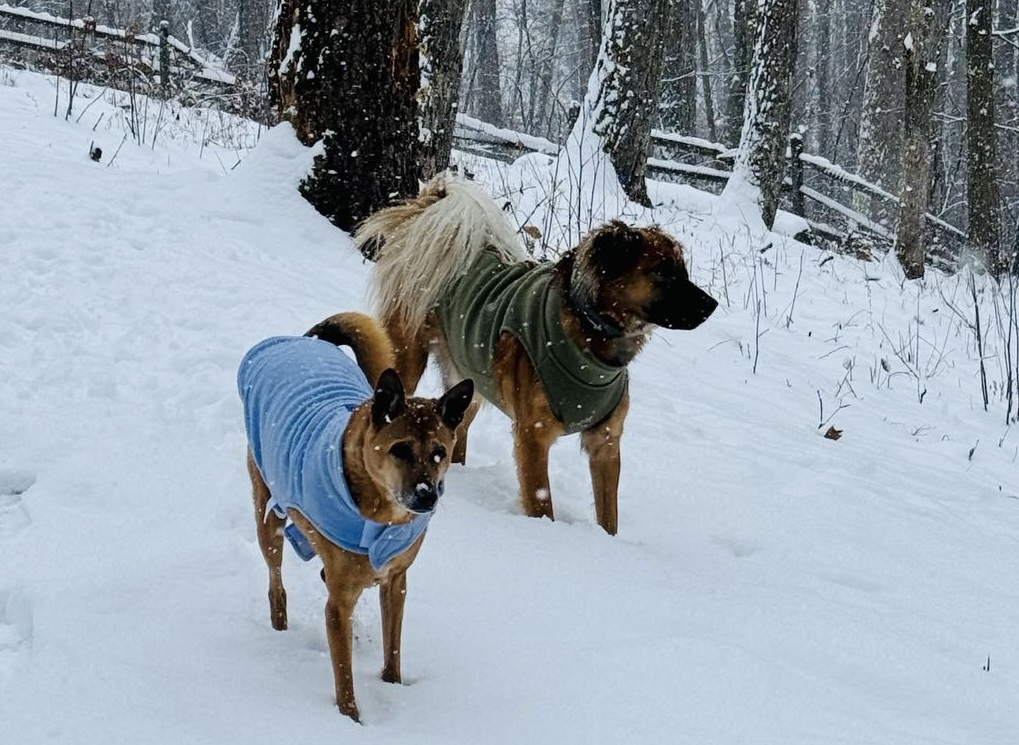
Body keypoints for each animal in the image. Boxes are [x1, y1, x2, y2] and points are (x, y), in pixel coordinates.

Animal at [240, 311, 474, 721]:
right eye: (400, 449)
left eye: (440, 453)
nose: (427, 496)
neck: (382, 514)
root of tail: (304, 341)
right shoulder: (339, 600)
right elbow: (343, 672)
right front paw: (350, 719)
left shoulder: (396, 581)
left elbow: (393, 646)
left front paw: (392, 686)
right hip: (268, 512)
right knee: (275, 579)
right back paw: (279, 629)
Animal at [358, 177, 717, 538]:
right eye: (663, 273)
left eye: (683, 270)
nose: (712, 305)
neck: (591, 340)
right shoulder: (533, 434)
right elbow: (542, 501)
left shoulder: (606, 441)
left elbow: (608, 514)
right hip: (407, 359)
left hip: (470, 383)